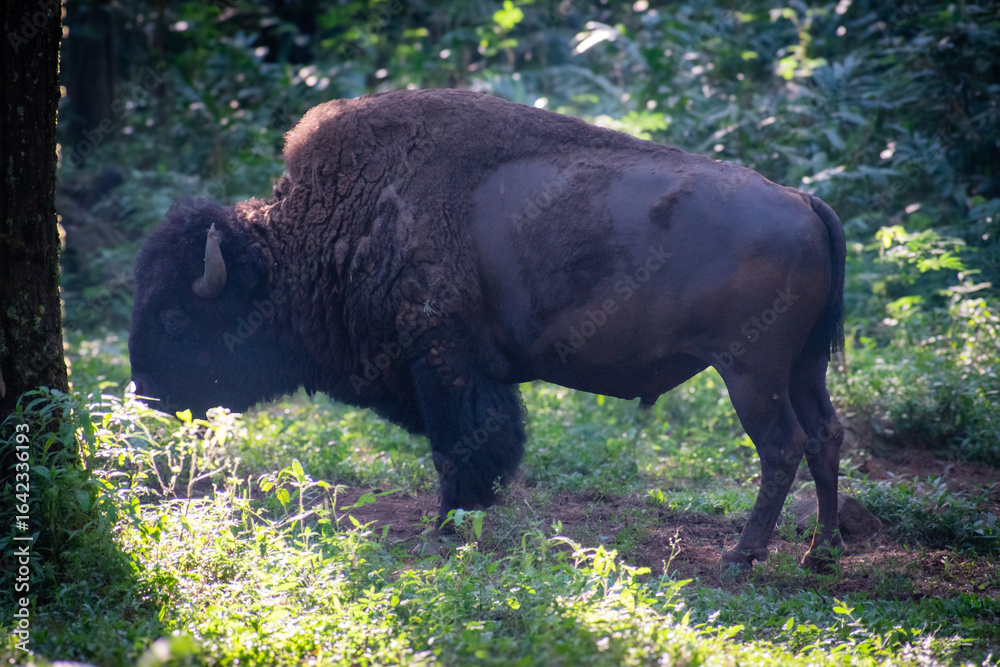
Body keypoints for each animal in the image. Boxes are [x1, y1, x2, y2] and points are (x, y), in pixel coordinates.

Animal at [130, 88, 846, 571]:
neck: (339, 229)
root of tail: (804, 202)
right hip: (803, 367)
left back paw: (742, 556)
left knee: (781, 447)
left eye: (174, 317)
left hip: (750, 371)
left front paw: (447, 526)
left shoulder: (444, 363)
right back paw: (822, 551)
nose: (146, 394)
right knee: (825, 436)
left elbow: (459, 448)